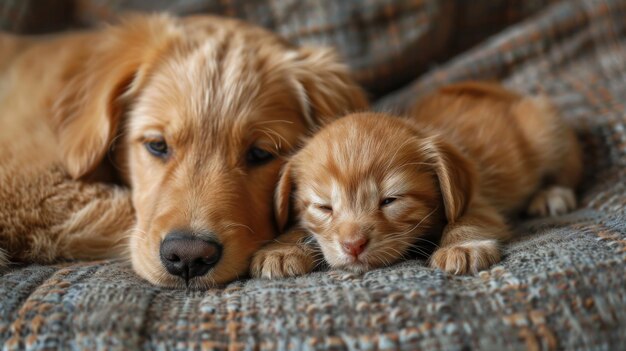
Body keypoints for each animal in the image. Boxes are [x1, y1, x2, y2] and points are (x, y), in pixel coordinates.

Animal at [249, 82, 580, 278]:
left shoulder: (477, 199)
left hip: (544, 127)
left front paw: (463, 247)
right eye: (324, 207)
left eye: (390, 200)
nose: (353, 246)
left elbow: (469, 218)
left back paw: (552, 194)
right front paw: (282, 249)